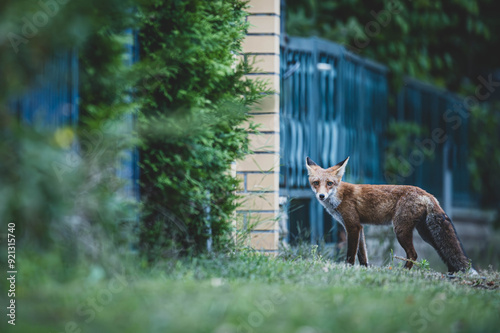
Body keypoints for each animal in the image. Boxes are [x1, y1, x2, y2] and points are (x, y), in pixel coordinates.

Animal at [304, 155, 476, 272]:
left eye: (329, 183)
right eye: (316, 183)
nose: (321, 196)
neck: (339, 196)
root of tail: (427, 193)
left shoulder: (352, 226)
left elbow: (351, 254)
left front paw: (348, 269)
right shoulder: (360, 227)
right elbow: (363, 255)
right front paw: (365, 270)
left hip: (400, 230)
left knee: (413, 254)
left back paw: (403, 272)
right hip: (426, 234)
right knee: (445, 251)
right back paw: (452, 273)